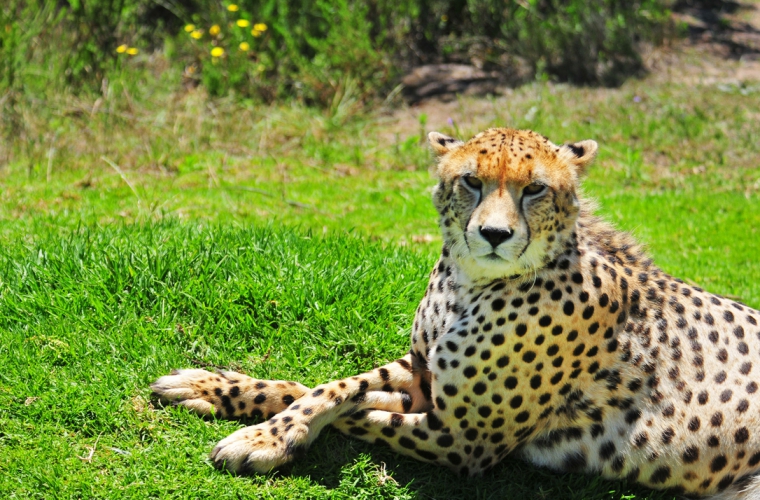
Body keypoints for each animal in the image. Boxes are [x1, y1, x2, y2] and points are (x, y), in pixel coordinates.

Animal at [151, 128, 760, 496]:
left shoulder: (464, 441)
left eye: (535, 189)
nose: (493, 234)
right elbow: (326, 387)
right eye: (472, 181)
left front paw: (266, 437)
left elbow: (358, 411)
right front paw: (219, 393)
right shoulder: (424, 373)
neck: (469, 283)